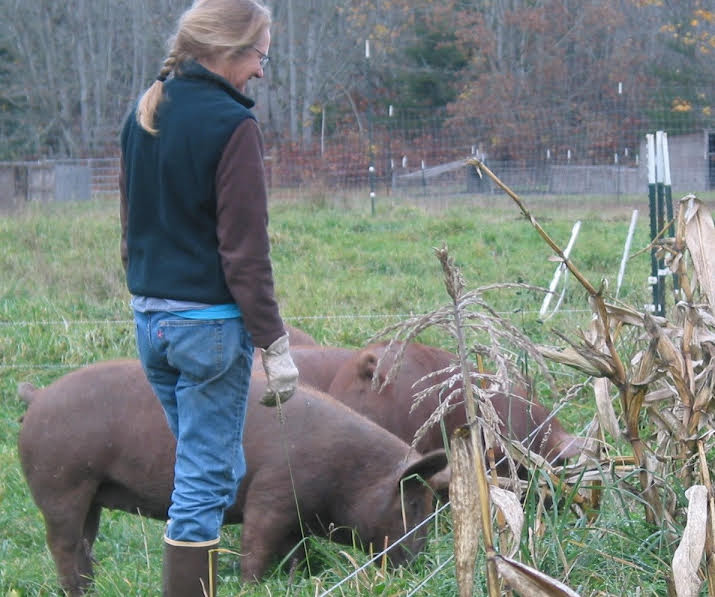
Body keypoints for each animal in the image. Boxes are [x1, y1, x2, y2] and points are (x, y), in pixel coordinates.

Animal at [15, 358, 448, 596]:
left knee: (84, 544)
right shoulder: (270, 495)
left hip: (89, 493)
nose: (421, 564)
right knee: (63, 544)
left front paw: (291, 583)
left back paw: (89, 589)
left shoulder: (297, 520)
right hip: (60, 484)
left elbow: (294, 555)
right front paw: (250, 587)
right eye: (412, 503)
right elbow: (255, 548)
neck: (350, 473)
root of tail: (38, 396)